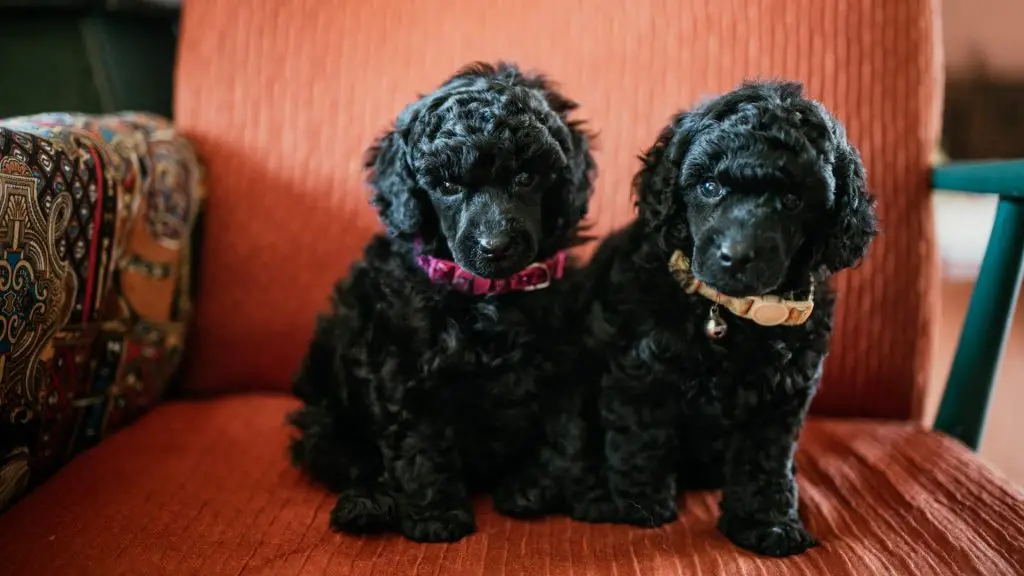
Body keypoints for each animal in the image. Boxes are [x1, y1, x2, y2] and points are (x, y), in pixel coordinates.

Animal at [286, 62, 593, 541]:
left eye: (526, 178)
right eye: (447, 185)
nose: (495, 246)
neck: (489, 295)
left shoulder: (563, 354)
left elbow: (562, 428)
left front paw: (536, 489)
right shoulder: (403, 367)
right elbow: (419, 443)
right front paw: (437, 516)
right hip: (322, 416)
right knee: (351, 459)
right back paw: (367, 505)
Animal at [573, 81, 876, 557]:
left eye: (792, 200)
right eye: (710, 186)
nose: (735, 256)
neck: (729, 314)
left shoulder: (781, 395)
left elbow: (764, 460)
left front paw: (766, 522)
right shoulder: (640, 366)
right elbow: (641, 435)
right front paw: (638, 506)